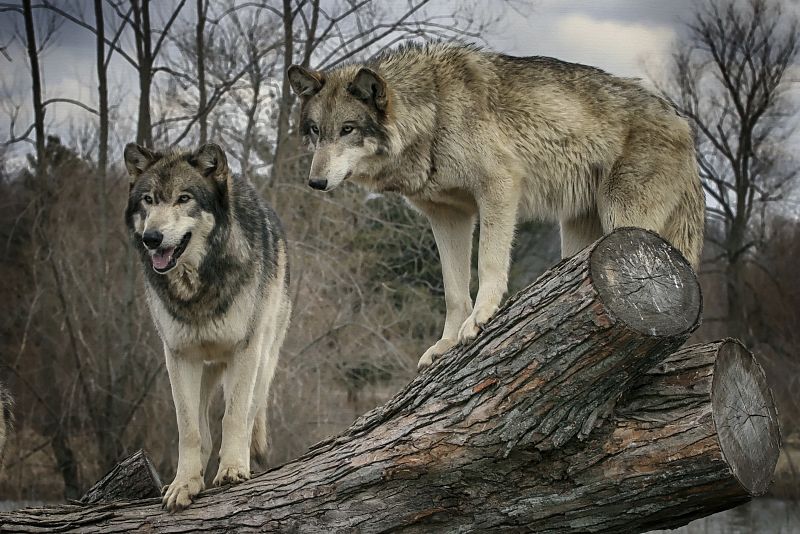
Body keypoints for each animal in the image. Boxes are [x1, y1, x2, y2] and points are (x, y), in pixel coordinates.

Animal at [124, 143, 291, 512]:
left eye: (184, 198)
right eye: (148, 200)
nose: (152, 238)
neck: (196, 288)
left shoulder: (245, 350)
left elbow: (234, 416)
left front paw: (232, 469)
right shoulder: (179, 356)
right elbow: (189, 428)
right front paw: (184, 483)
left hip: (262, 360)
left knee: (249, 412)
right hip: (204, 369)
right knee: (202, 427)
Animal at [288, 42, 705, 371]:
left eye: (347, 129)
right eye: (316, 131)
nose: (315, 182)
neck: (434, 114)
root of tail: (682, 122)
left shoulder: (499, 188)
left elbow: (488, 262)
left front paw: (481, 318)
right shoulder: (448, 216)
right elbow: (454, 291)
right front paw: (445, 344)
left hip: (624, 223)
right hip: (578, 243)